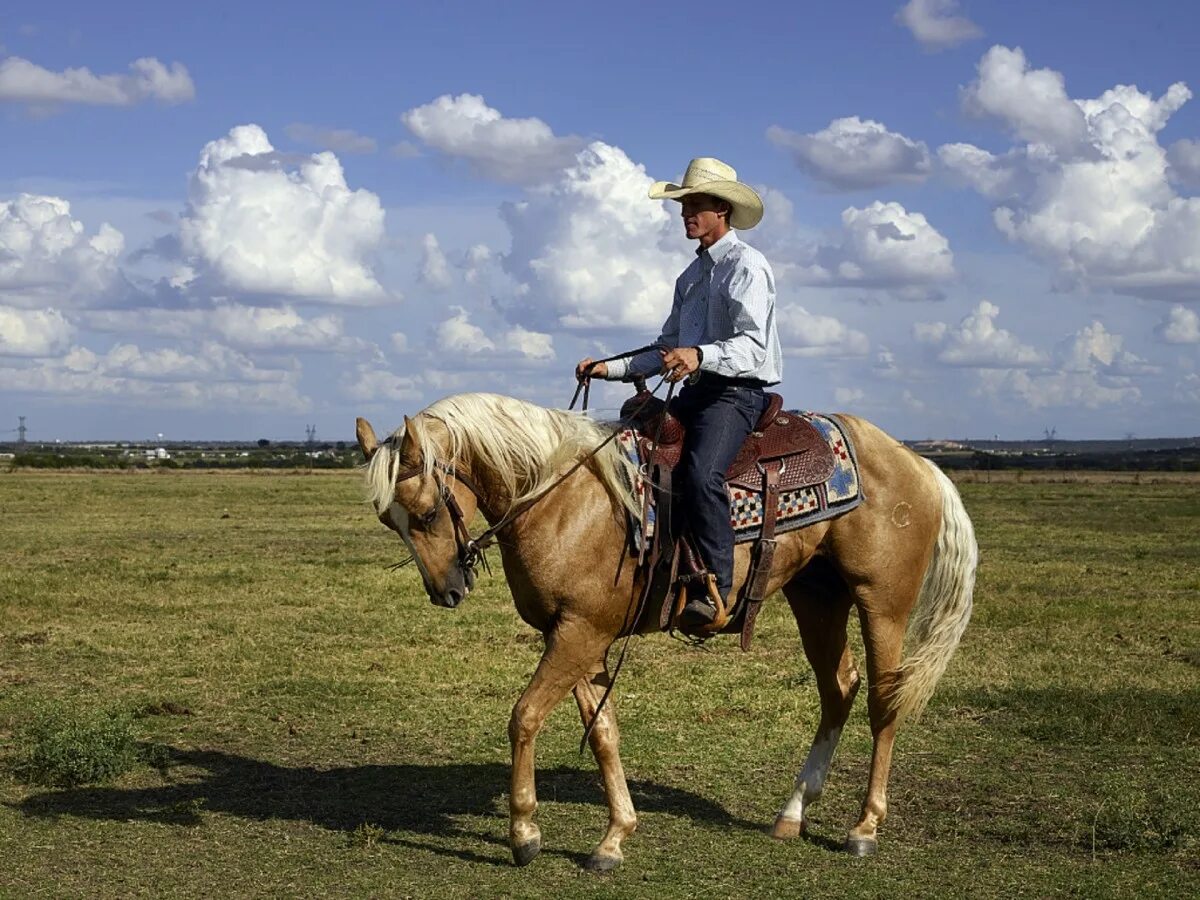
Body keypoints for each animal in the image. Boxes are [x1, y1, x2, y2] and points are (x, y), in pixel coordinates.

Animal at [352, 393, 974, 873]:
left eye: (427, 512)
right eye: (388, 519)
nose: (446, 591)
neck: (563, 498)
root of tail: (915, 461)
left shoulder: (578, 633)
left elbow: (524, 717)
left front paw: (524, 834)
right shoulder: (580, 636)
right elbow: (603, 732)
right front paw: (614, 838)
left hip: (882, 604)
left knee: (883, 702)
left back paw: (864, 828)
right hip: (817, 597)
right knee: (838, 689)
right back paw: (793, 811)